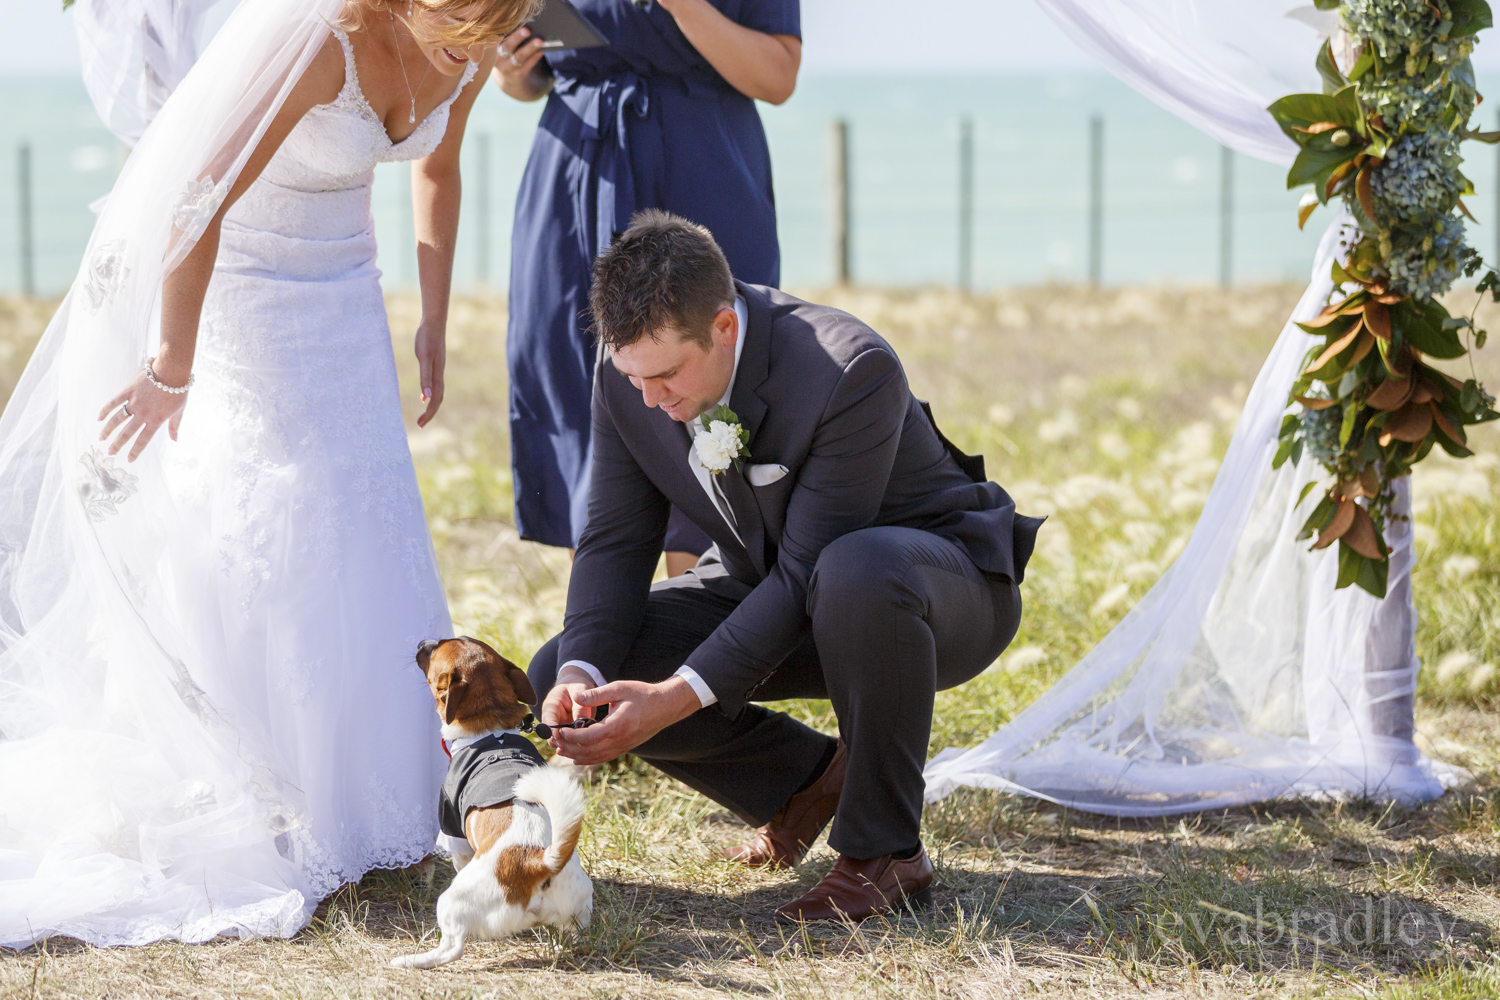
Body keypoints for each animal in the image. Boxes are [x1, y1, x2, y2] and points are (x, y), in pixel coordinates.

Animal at [390, 638, 594, 971]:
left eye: (434, 651)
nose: (424, 641)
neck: (492, 729)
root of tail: (536, 862)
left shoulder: (453, 830)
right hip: (578, 909)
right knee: (574, 938)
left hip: (452, 901)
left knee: (452, 948)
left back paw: (413, 960)